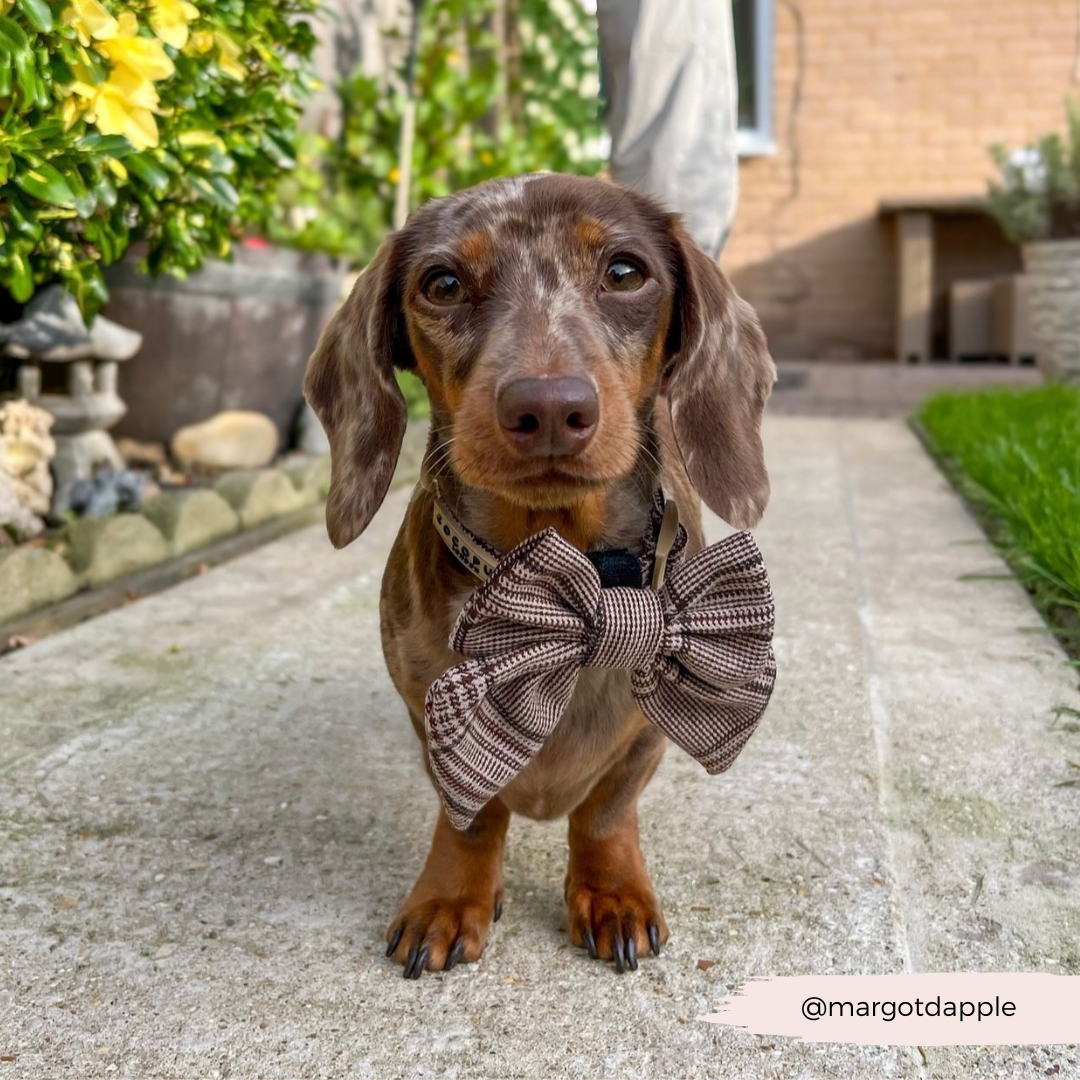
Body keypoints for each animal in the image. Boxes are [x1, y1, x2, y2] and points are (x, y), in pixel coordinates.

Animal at [304, 170, 777, 980]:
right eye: (443, 283)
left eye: (625, 272)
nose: (549, 407)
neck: (560, 575)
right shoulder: (432, 718)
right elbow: (471, 815)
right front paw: (451, 897)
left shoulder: (644, 739)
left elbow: (604, 814)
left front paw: (611, 892)